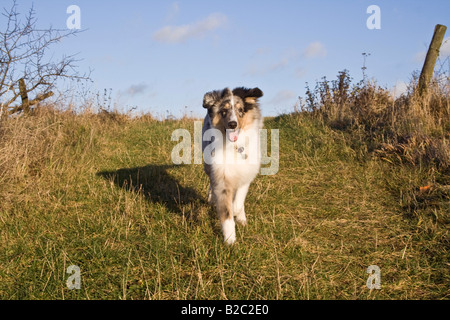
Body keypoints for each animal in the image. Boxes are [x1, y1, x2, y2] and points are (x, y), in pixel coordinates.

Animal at [201, 86, 264, 244]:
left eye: (240, 110)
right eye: (224, 110)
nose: (232, 124)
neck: (234, 146)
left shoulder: (246, 173)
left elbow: (239, 200)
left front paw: (238, 213)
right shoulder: (221, 176)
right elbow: (226, 211)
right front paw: (230, 240)